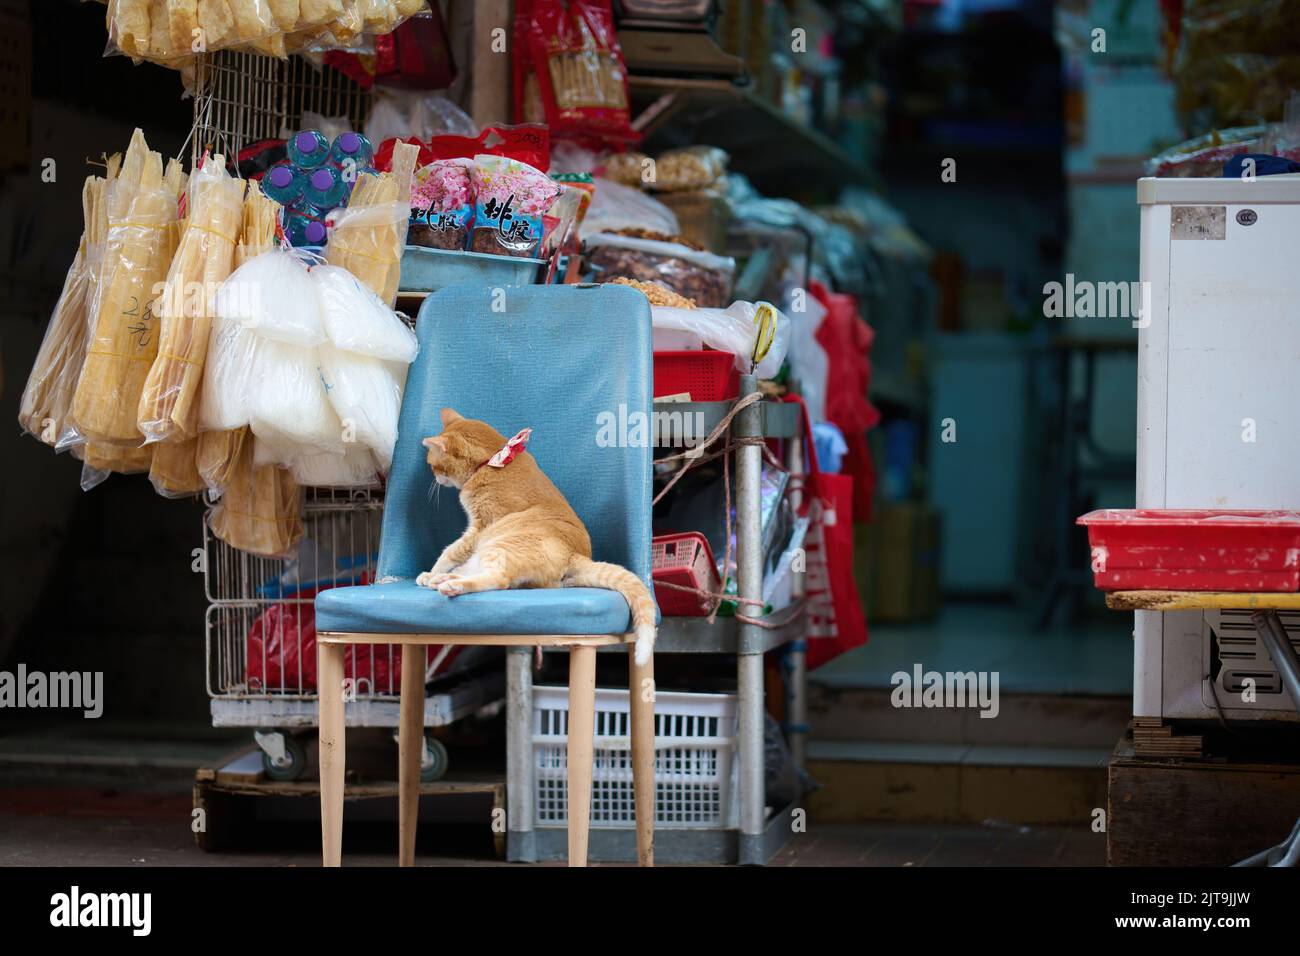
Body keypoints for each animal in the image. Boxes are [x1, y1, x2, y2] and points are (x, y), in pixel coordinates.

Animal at [418, 405, 655, 665]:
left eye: (433, 466)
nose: (435, 478)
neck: (491, 461)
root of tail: (575, 555)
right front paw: (433, 573)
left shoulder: (481, 527)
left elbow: (451, 551)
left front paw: (436, 569)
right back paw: (441, 579)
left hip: (499, 545)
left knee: (499, 579)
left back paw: (450, 584)